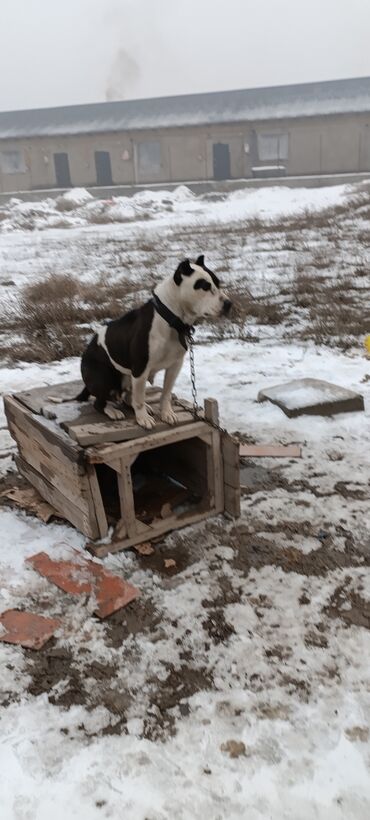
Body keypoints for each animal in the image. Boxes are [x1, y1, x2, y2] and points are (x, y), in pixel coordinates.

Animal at [75, 256, 231, 430]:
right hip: (104, 377)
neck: (172, 320)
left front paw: (166, 413)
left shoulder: (174, 366)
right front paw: (142, 418)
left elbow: (165, 394)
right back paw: (113, 411)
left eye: (218, 283)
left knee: (126, 397)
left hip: (126, 377)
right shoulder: (140, 369)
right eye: (205, 286)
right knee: (101, 402)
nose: (228, 304)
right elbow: (139, 399)